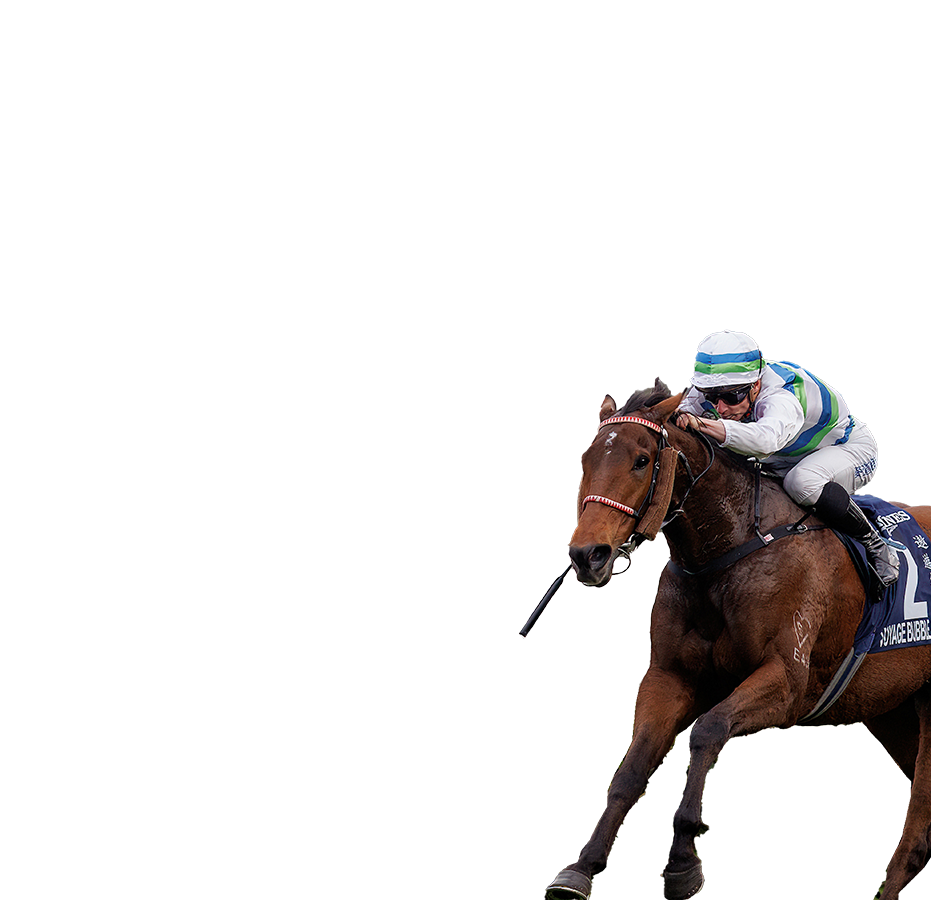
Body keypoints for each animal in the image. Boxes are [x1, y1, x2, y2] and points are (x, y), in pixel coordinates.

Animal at [544, 385, 931, 900]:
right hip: (893, 707)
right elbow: (631, 771)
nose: (588, 555)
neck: (730, 548)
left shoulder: (786, 682)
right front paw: (582, 867)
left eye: (642, 461)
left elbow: (709, 729)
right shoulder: (670, 677)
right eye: (586, 460)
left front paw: (682, 860)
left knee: (918, 833)